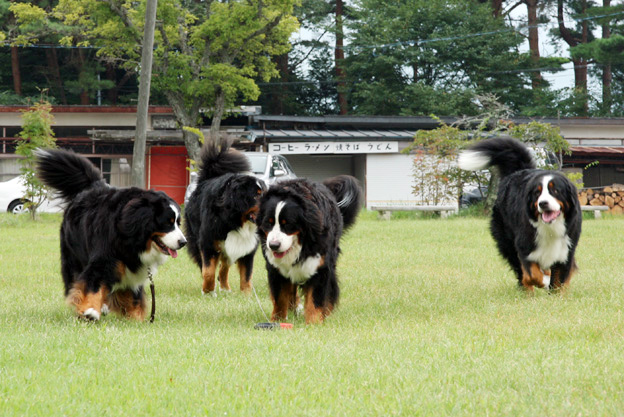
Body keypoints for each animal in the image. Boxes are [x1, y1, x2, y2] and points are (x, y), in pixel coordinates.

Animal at [35, 148, 186, 320]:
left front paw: (135, 318)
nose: (183, 242)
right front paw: (90, 311)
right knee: (74, 280)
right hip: (73, 255)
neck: (130, 236)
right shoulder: (104, 258)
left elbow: (134, 296)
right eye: (168, 222)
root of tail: (93, 186)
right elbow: (93, 284)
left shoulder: (133, 271)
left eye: (178, 222)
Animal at [183, 141, 266, 296]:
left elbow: (246, 274)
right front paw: (208, 292)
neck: (236, 220)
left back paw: (225, 288)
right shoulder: (209, 242)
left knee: (224, 267)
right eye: (256, 195)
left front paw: (247, 295)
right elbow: (208, 272)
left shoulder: (248, 246)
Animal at [256, 174, 364, 324]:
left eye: (287, 224)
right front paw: (277, 320)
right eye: (268, 223)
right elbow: (280, 298)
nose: (273, 245)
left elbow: (315, 297)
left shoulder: (319, 265)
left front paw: (314, 322)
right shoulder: (275, 269)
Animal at [456, 138, 584, 290]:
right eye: (537, 193)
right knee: (520, 271)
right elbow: (533, 275)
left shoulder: (566, 248)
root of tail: (519, 170)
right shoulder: (524, 245)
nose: (543, 203)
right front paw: (544, 281)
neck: (550, 228)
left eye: (556, 191)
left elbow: (558, 280)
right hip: (507, 242)